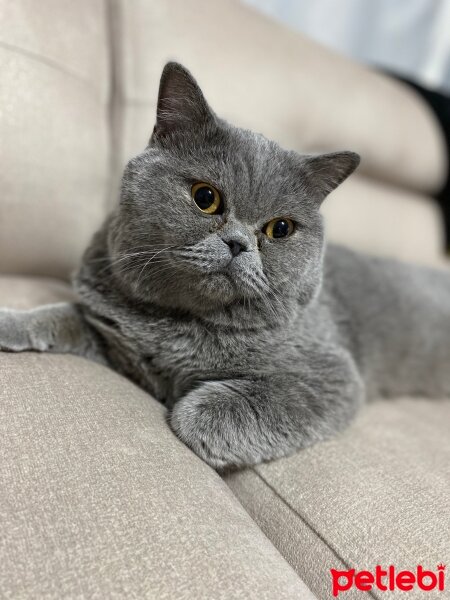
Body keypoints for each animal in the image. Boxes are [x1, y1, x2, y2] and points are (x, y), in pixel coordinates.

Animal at [0, 63, 450, 472]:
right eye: (205, 197)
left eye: (280, 228)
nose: (238, 243)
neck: (179, 325)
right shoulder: (114, 336)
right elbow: (62, 315)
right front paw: (12, 323)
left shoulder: (331, 376)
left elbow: (206, 409)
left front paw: (189, 407)